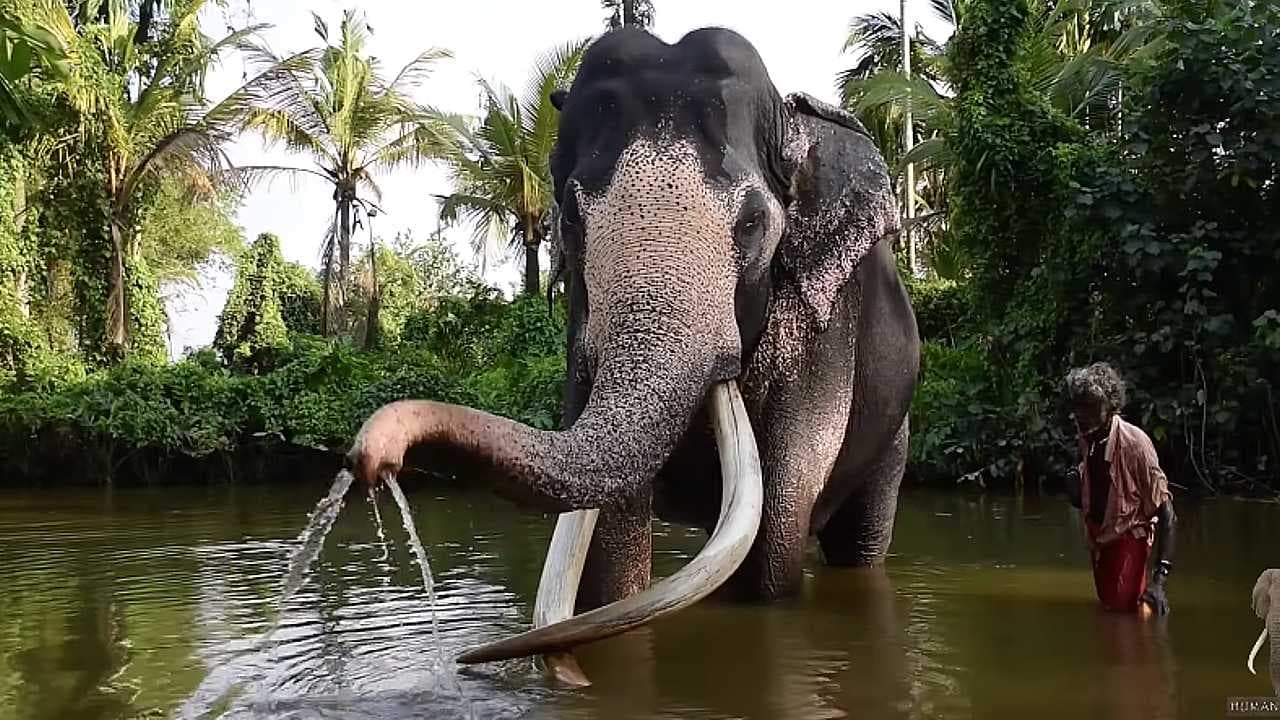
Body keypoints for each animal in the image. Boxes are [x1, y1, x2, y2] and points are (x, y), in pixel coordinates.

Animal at [343, 25, 921, 671]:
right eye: (569, 220)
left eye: (752, 223)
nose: (374, 452)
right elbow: (612, 549)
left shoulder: (827, 323)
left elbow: (775, 535)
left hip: (896, 431)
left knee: (860, 538)